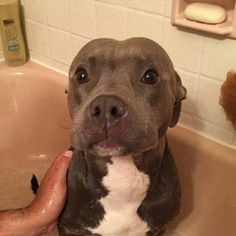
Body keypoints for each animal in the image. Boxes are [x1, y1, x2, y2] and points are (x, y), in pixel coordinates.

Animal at [58, 37, 187, 235]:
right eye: (81, 75)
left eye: (150, 76)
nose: (105, 106)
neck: (123, 173)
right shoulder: (68, 227)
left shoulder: (159, 228)